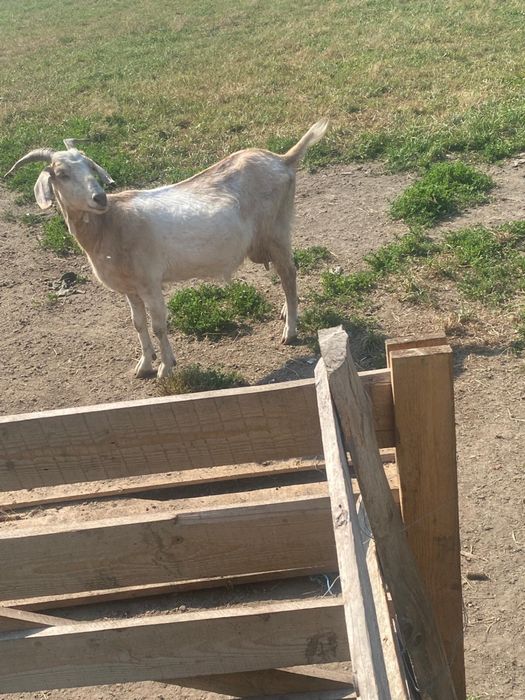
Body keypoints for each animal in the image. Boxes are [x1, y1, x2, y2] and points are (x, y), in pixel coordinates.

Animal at [6, 120, 329, 378]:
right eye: (61, 173)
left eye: (89, 166)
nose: (99, 198)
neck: (111, 225)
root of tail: (284, 159)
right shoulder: (130, 288)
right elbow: (137, 324)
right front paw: (144, 365)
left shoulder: (150, 282)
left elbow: (159, 325)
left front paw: (165, 368)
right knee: (285, 274)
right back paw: (287, 314)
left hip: (277, 231)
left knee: (289, 273)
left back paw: (290, 332)